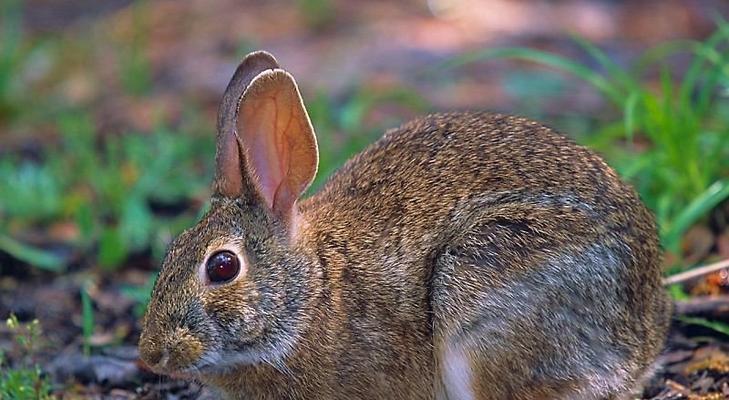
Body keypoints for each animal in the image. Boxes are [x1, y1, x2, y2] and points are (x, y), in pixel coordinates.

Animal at [138, 50, 672, 400]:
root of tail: (641, 343)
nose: (150, 354)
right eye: (170, 251)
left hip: (484, 289)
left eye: (223, 267)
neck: (313, 291)